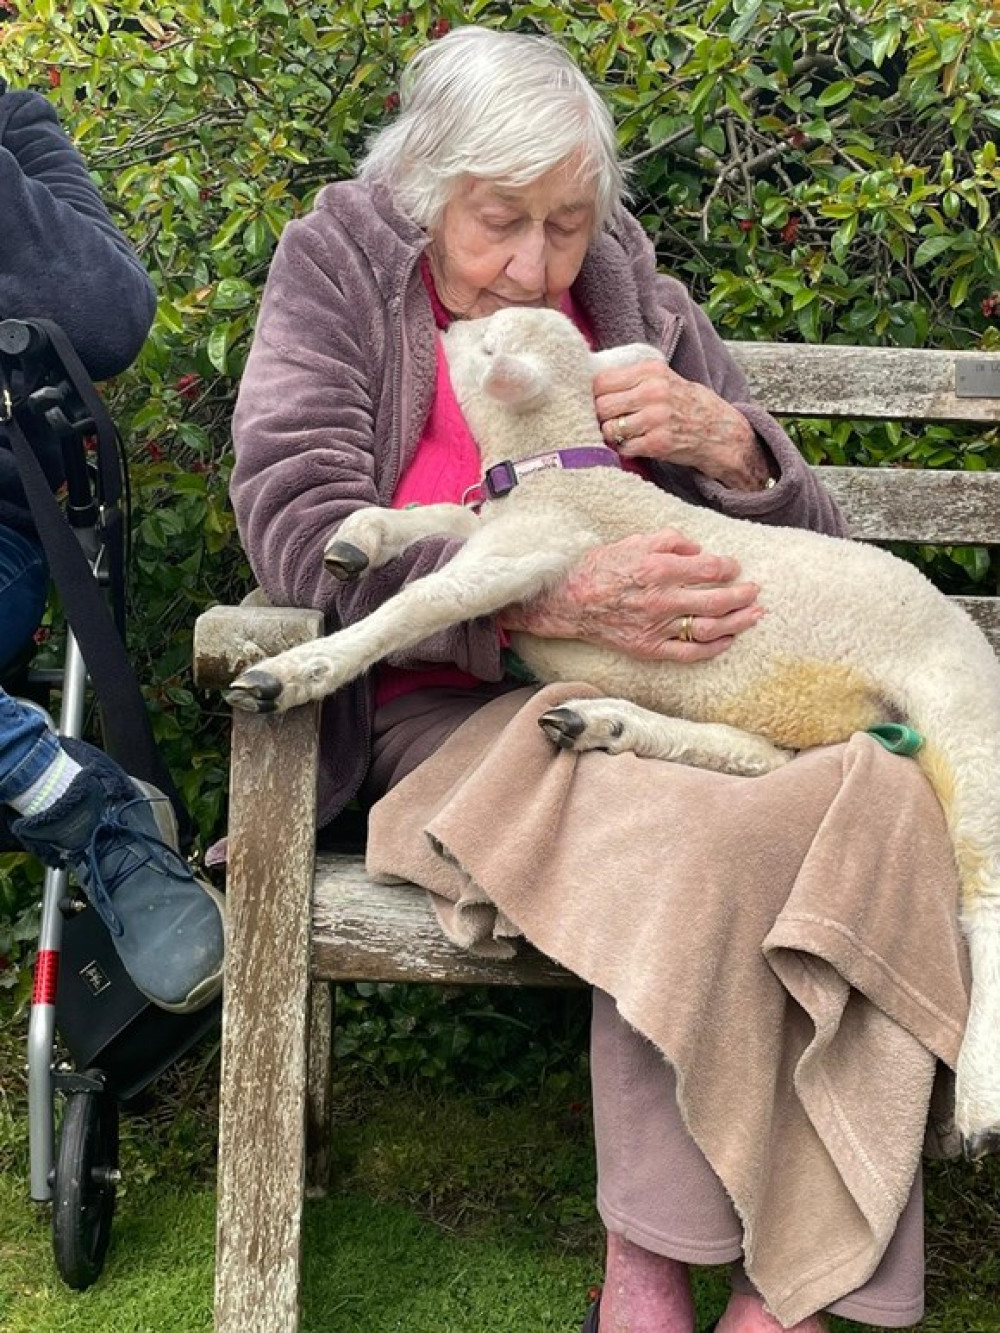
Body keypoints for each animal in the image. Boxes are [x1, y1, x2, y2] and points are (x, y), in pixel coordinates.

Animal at [226, 302, 1000, 1157]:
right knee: (761, 757)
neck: (559, 472)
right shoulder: (500, 530)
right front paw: (358, 539)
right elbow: (434, 516)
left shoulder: (529, 549)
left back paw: (979, 1102)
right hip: (788, 716)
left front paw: (289, 674)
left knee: (985, 896)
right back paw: (603, 721)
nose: (448, 320)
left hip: (962, 711)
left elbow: (420, 604)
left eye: (485, 340)